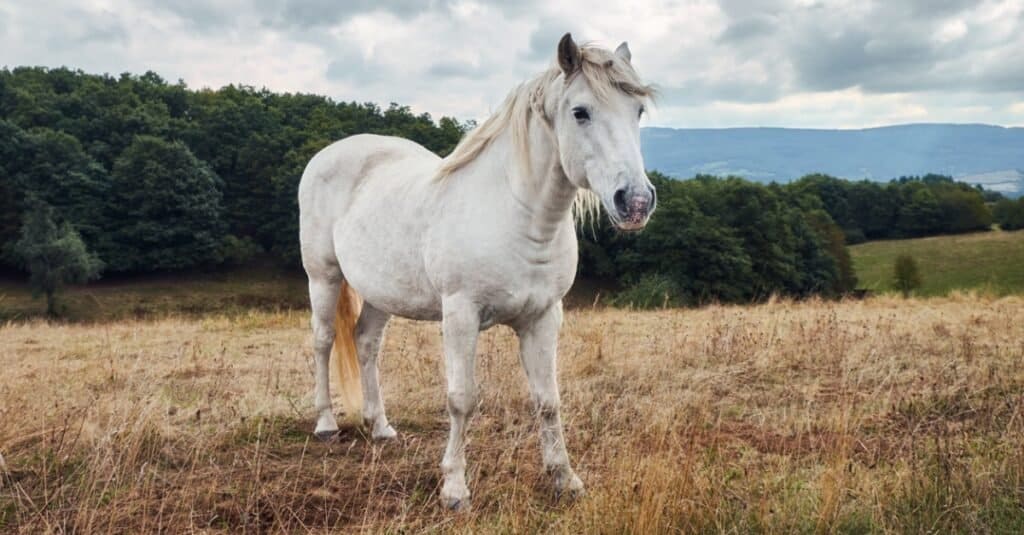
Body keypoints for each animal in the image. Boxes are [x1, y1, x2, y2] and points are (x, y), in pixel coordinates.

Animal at [299, 34, 655, 508]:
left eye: (638, 111)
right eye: (581, 112)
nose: (635, 202)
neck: (518, 216)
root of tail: (328, 154)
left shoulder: (544, 318)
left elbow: (548, 400)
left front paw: (565, 479)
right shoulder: (461, 316)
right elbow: (462, 399)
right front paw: (454, 488)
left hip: (381, 292)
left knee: (366, 343)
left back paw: (381, 427)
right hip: (323, 276)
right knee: (323, 342)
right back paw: (325, 425)